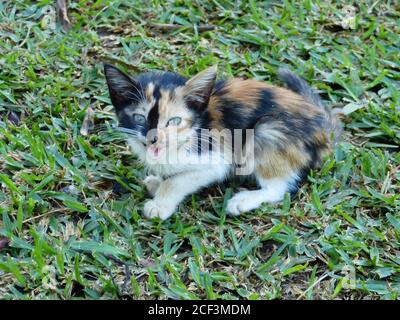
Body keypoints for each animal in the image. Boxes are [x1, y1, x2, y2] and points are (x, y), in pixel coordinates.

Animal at [103, 64, 340, 220]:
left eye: (174, 121)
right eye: (139, 118)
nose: (153, 138)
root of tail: (322, 129)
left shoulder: (216, 158)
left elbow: (178, 181)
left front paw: (160, 203)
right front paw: (156, 182)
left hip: (267, 131)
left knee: (278, 189)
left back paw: (243, 201)